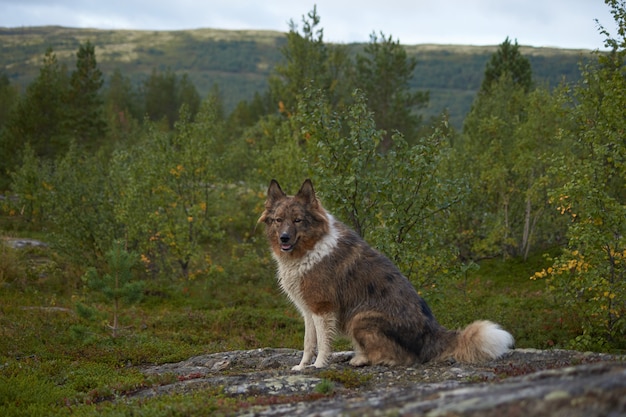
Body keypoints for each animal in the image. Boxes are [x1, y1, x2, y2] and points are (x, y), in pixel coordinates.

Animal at [258, 177, 512, 368]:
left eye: (298, 220)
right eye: (279, 220)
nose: (284, 238)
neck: (309, 249)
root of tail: (432, 333)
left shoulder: (322, 308)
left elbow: (322, 342)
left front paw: (319, 366)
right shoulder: (308, 310)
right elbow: (308, 342)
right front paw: (302, 367)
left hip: (361, 317)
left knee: (406, 357)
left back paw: (367, 360)